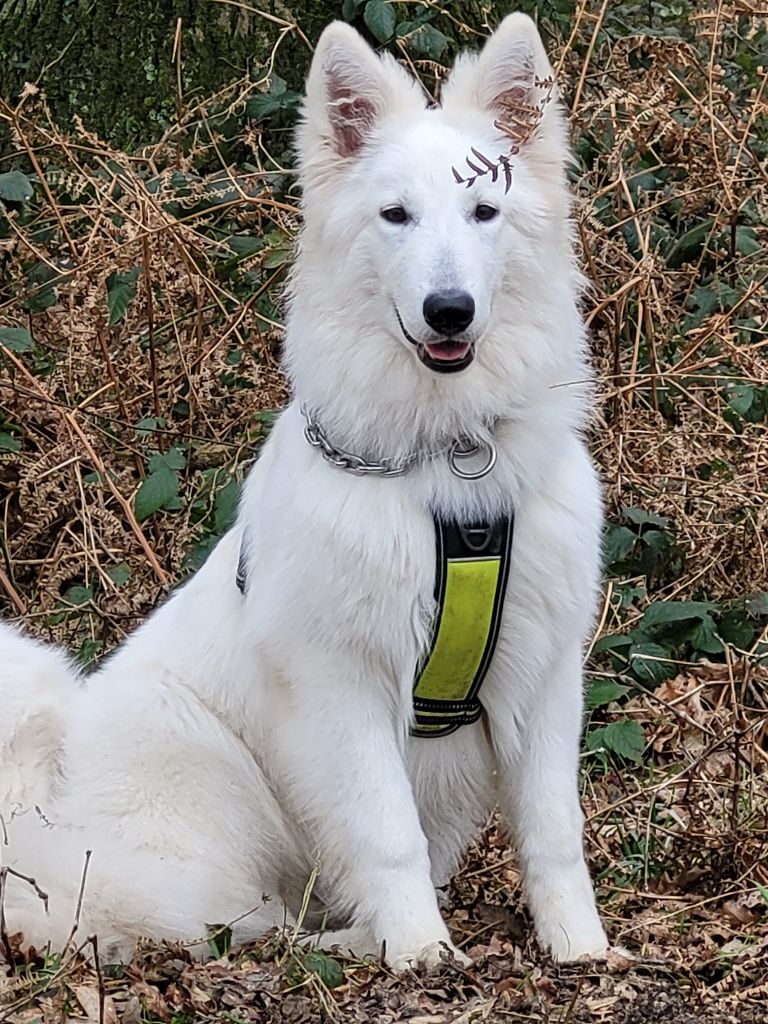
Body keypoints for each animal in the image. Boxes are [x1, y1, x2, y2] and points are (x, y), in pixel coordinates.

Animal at [1, 16, 614, 970]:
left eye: (484, 212)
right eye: (395, 215)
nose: (449, 310)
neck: (445, 466)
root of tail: (54, 822)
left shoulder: (543, 674)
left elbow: (554, 831)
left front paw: (580, 947)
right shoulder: (342, 687)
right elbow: (388, 834)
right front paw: (421, 953)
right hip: (212, 778)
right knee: (212, 914)